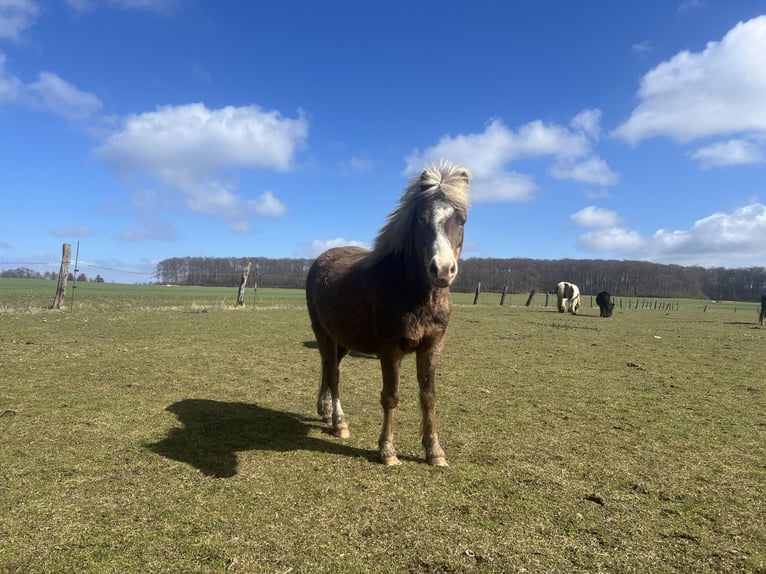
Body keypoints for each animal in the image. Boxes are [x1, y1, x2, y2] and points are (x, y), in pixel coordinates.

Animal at [305, 162, 471, 466]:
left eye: (462, 220)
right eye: (421, 220)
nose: (442, 270)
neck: (414, 293)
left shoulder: (432, 346)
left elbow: (428, 397)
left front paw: (435, 452)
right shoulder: (390, 348)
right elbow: (391, 396)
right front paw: (387, 450)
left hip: (342, 340)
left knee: (328, 368)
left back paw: (325, 412)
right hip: (323, 333)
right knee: (333, 374)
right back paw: (339, 423)